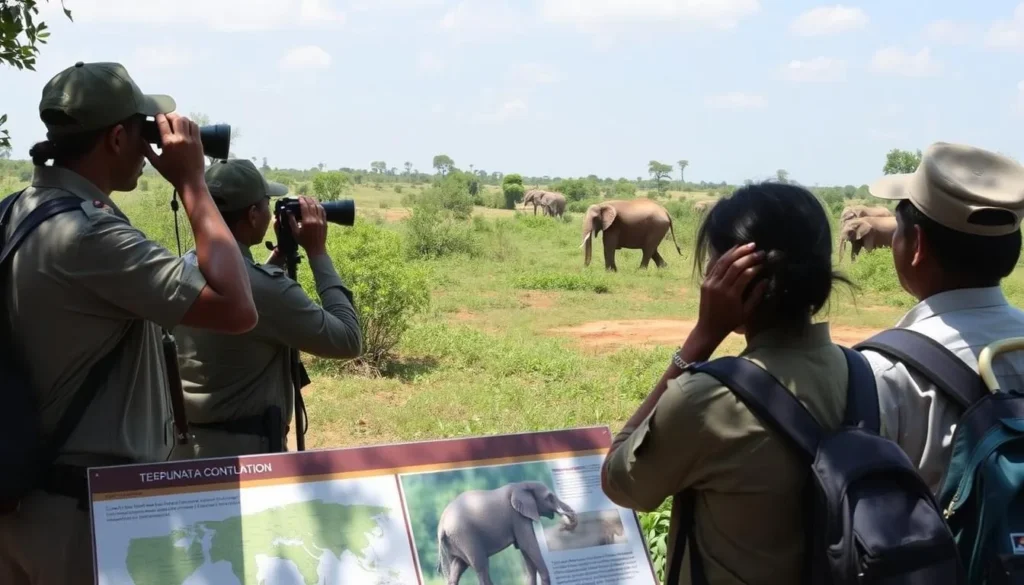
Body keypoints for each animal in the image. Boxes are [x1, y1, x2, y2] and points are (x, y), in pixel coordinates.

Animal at [436, 480, 577, 585]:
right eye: (550, 497)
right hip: (464, 536)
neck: (522, 485)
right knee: (481, 566)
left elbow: (524, 550)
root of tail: (441, 526)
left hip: (454, 541)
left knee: (458, 566)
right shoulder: (517, 516)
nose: (566, 525)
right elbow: (528, 545)